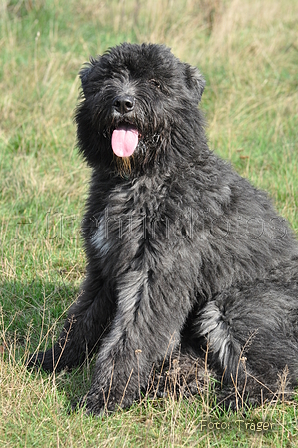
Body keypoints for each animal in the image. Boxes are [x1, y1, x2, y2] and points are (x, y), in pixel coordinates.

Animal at [28, 42, 298, 412]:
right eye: (109, 77)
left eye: (156, 83)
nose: (124, 103)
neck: (146, 177)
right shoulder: (103, 267)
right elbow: (82, 319)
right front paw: (54, 360)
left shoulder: (155, 276)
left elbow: (132, 336)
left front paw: (106, 395)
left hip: (233, 306)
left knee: (276, 374)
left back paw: (234, 398)